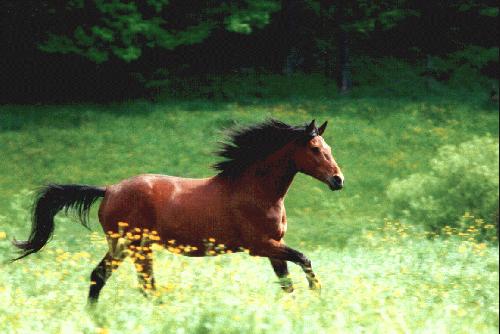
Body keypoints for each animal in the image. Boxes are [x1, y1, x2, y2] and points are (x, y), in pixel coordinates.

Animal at [13, 119, 346, 302]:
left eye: (328, 147)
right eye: (315, 149)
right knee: (145, 286)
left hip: (124, 247)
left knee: (100, 276)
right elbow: (304, 259)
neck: (256, 191)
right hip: (136, 247)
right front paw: (318, 293)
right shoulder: (261, 245)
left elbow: (287, 284)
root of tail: (108, 189)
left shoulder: (274, 247)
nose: (338, 180)